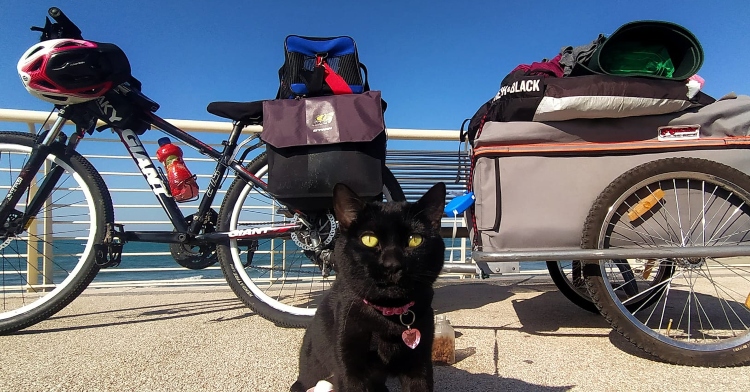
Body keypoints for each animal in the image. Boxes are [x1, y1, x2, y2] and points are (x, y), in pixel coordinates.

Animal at [292, 182, 446, 390]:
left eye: (415, 239)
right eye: (369, 239)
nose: (392, 264)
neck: (389, 316)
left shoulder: (420, 365)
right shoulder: (349, 367)